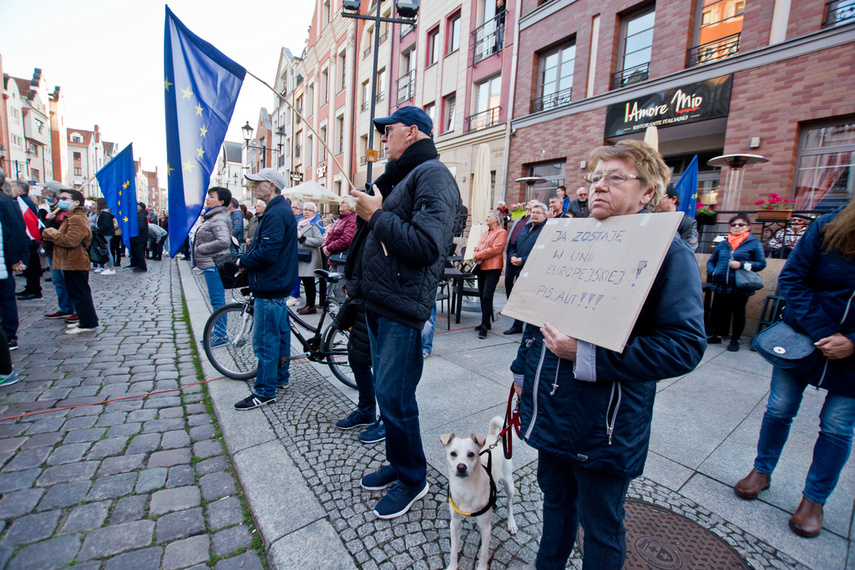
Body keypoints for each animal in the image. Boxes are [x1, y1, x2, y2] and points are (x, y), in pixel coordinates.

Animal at [438, 412, 520, 568]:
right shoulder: (455, 523)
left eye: (471, 454)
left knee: (509, 503)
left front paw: (481, 566)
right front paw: (452, 566)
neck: (465, 488)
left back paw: (511, 523)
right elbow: (453, 551)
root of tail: (494, 437)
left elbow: (483, 555)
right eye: (453, 453)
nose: (461, 467)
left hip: (509, 484)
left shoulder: (486, 528)